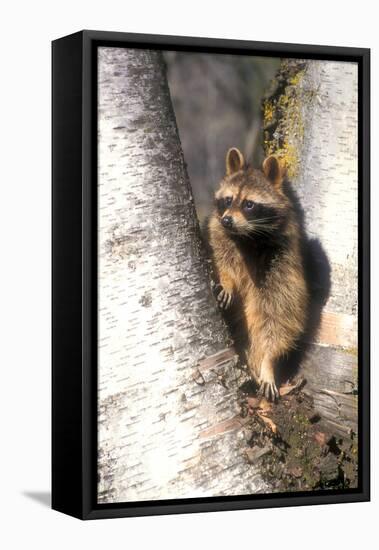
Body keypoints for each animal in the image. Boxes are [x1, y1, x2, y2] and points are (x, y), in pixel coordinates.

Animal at [208, 149, 308, 404]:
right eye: (228, 200)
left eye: (249, 204)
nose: (227, 220)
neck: (249, 236)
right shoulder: (219, 237)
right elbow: (222, 263)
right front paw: (227, 282)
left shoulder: (281, 268)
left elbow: (278, 320)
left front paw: (268, 363)